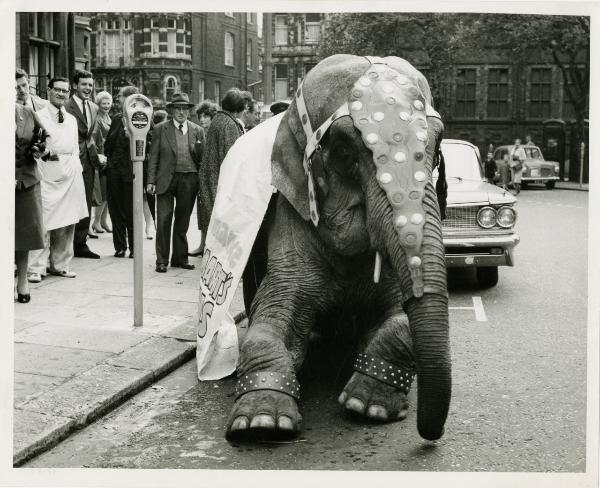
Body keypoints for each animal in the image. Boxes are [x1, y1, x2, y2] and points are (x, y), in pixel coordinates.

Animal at [225, 53, 450, 442]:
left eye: (435, 150)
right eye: (344, 152)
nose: (430, 436)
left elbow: (401, 320)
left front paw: (368, 407)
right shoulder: (290, 226)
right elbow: (270, 318)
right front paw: (261, 424)